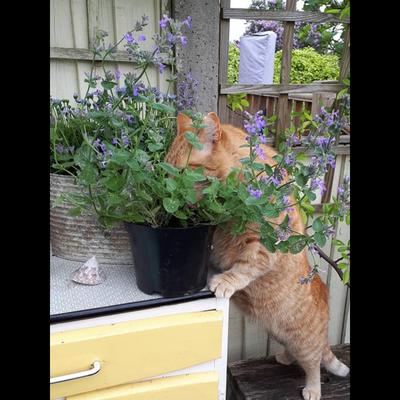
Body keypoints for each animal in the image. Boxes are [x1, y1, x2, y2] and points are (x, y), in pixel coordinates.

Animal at [166, 111, 350, 398]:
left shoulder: (264, 244)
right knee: (296, 353)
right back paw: (284, 357)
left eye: (183, 170)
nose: (166, 190)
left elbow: (245, 266)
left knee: (313, 364)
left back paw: (312, 389)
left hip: (304, 341)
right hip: (283, 335)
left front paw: (225, 280)